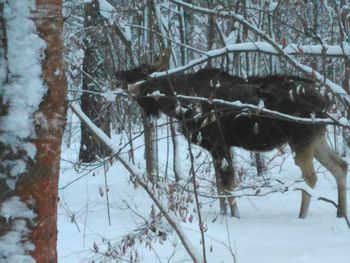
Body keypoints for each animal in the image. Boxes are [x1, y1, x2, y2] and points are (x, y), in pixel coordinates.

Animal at [116, 55, 348, 219]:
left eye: (145, 71)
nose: (121, 75)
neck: (179, 105)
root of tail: (327, 100)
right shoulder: (215, 147)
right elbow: (220, 185)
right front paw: (224, 214)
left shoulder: (220, 144)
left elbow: (227, 185)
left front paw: (235, 216)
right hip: (317, 139)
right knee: (340, 165)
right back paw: (341, 213)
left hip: (301, 140)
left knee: (311, 178)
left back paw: (302, 216)